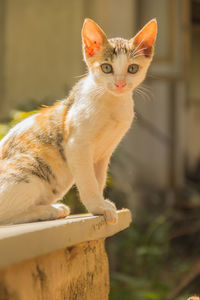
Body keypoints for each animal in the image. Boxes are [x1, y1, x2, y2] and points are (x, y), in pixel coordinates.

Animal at [0, 18, 157, 225]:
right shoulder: (77, 144)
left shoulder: (104, 154)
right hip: (29, 167)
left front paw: (100, 204)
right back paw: (48, 210)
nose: (120, 84)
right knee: (5, 216)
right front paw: (97, 207)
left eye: (132, 68)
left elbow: (98, 179)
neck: (112, 103)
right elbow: (88, 181)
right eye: (106, 68)